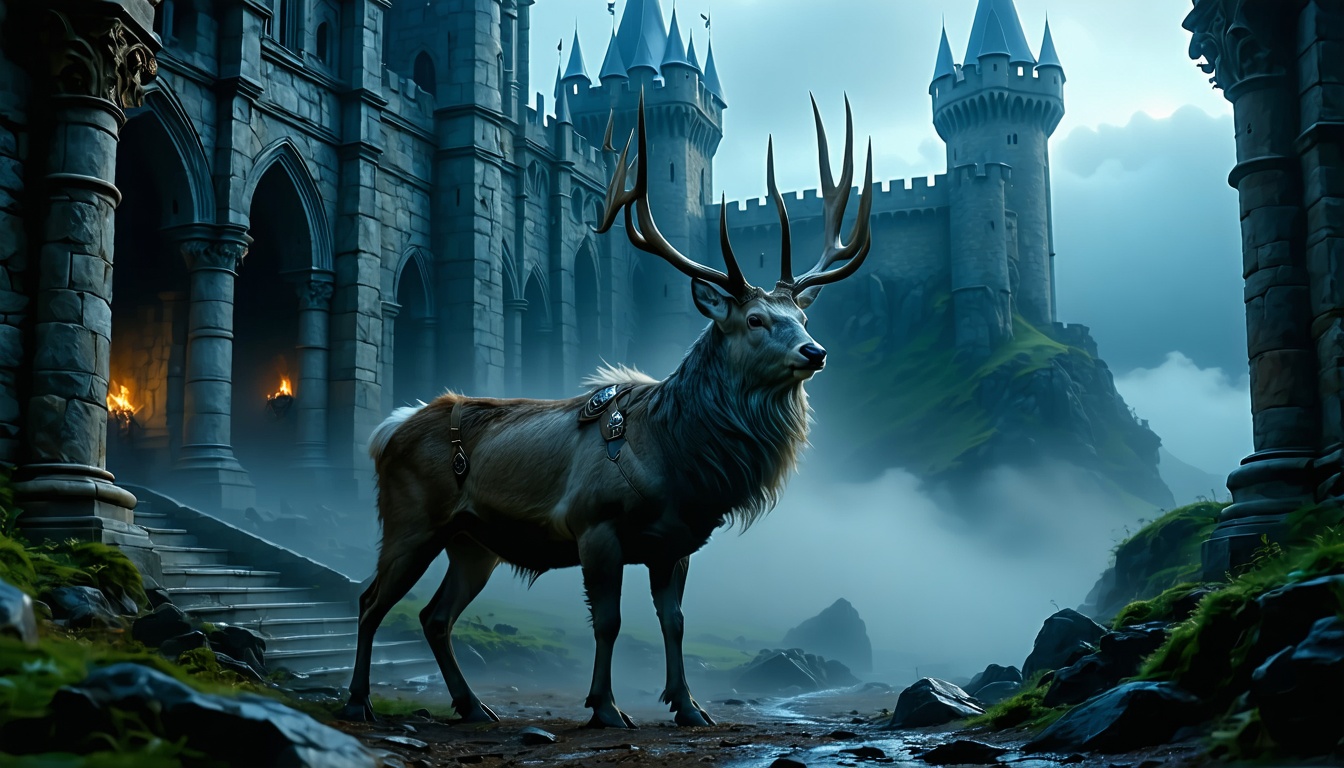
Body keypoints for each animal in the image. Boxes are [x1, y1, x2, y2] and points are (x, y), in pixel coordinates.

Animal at [341, 93, 873, 729]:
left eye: (804, 317)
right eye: (754, 319)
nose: (815, 353)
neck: (678, 458)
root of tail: (387, 431)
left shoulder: (676, 544)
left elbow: (675, 622)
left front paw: (688, 706)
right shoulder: (594, 526)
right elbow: (609, 622)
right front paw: (605, 706)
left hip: (474, 541)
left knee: (434, 615)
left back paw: (474, 705)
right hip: (410, 520)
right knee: (370, 599)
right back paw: (359, 700)